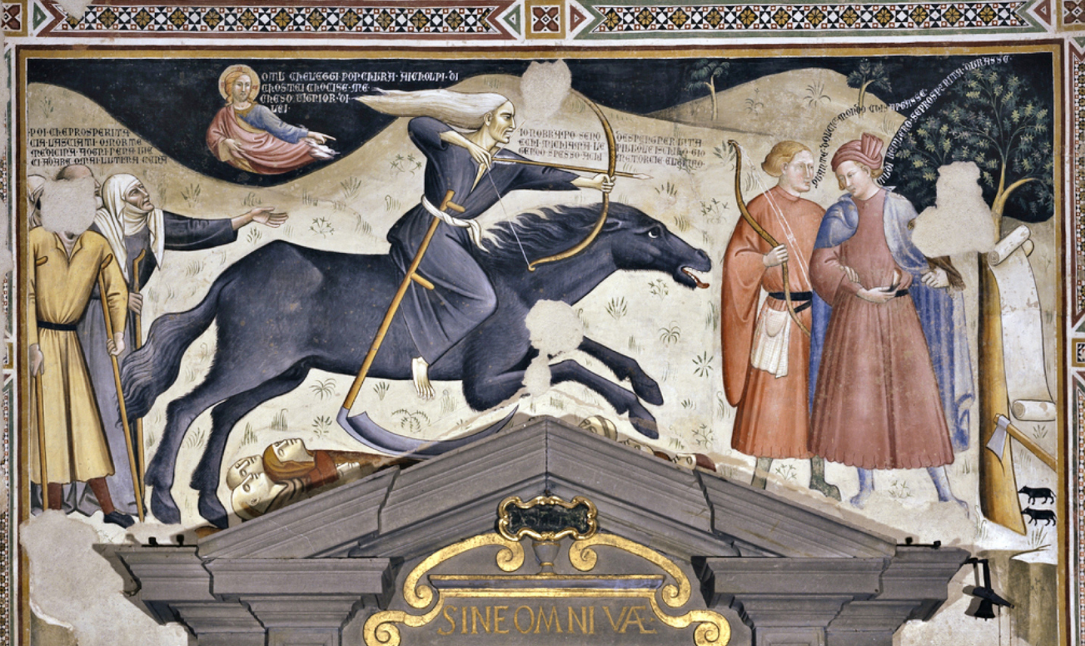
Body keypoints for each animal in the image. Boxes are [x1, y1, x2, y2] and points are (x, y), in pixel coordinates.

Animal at [121, 202, 712, 527]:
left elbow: (584, 346)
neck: (517, 283)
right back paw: (168, 502)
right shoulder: (483, 384)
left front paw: (649, 388)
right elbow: (571, 368)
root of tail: (232, 274)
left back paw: (210, 504)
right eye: (653, 232)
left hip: (284, 372)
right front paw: (640, 412)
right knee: (184, 407)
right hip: (252, 360)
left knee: (222, 414)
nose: (703, 257)